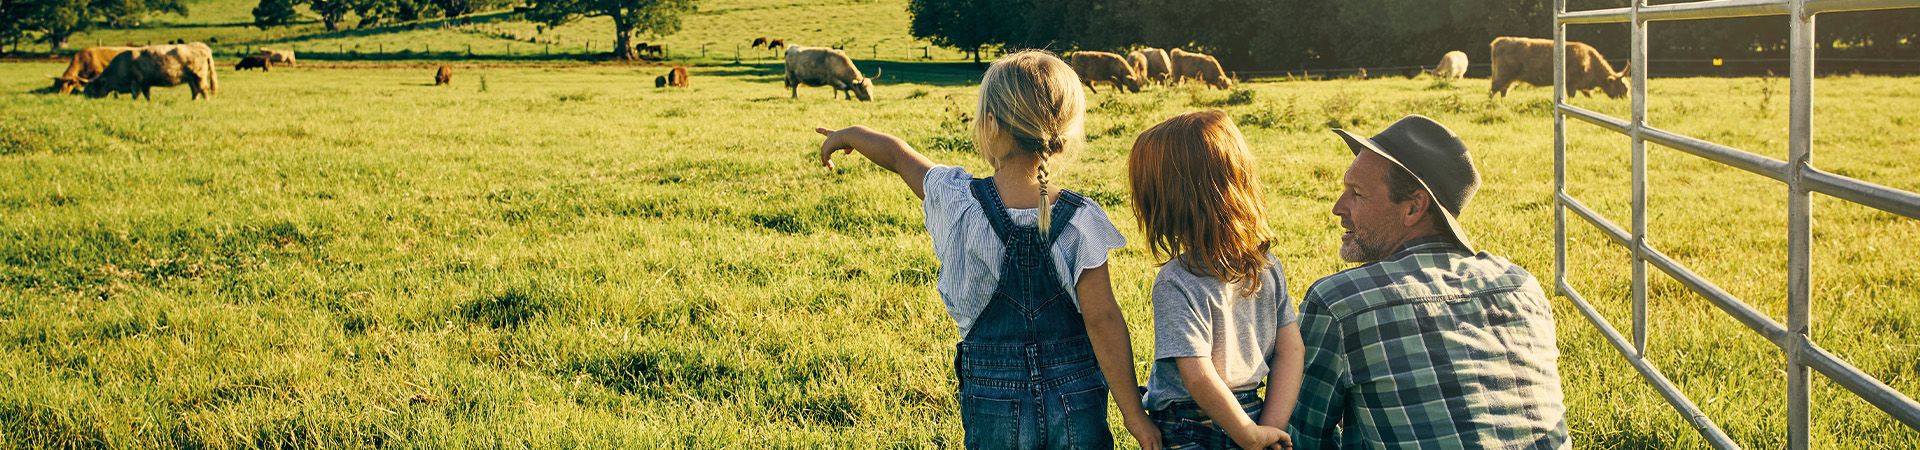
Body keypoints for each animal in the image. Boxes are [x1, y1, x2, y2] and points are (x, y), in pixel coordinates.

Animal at [85, 42, 218, 100]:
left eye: (92, 86)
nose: (85, 96)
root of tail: (202, 46)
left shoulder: (136, 82)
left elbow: (135, 96)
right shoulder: (145, 84)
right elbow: (147, 96)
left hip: (199, 76)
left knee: (203, 90)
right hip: (191, 79)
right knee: (195, 91)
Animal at [1489, 36, 1628, 98]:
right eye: (1623, 88)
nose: (1625, 100)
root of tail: (1499, 41)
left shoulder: (1583, 86)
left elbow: (1589, 96)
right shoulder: (1571, 83)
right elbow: (1572, 96)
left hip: (1508, 78)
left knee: (1503, 90)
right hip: (1503, 75)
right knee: (1493, 90)